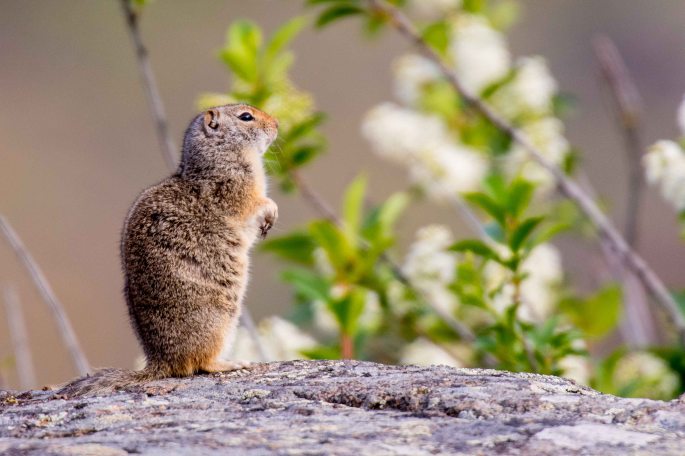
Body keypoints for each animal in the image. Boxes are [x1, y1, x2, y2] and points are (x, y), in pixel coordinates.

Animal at [60, 104, 278, 396]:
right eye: (246, 117)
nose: (277, 125)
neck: (218, 153)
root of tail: (161, 362)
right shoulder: (234, 187)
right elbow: (254, 202)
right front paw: (271, 210)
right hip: (218, 324)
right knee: (200, 363)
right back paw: (231, 363)